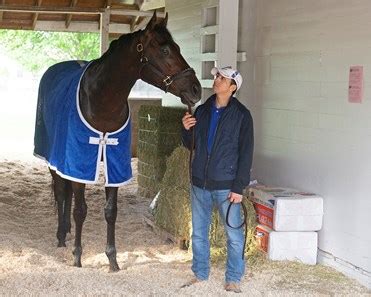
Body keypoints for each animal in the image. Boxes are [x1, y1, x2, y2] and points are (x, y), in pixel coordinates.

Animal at [33, 12, 202, 270]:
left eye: (178, 48)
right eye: (164, 50)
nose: (196, 90)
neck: (100, 99)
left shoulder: (114, 162)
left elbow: (110, 211)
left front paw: (112, 259)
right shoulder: (80, 160)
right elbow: (80, 210)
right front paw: (78, 256)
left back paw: (67, 231)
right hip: (54, 157)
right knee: (62, 192)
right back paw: (61, 235)